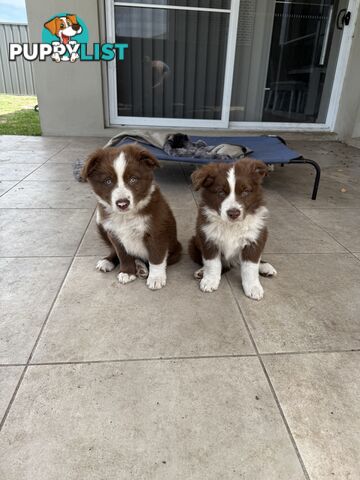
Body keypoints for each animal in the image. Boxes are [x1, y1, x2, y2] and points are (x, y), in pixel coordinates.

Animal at [82, 144, 181, 290]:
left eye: (133, 179)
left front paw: (156, 278)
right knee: (115, 251)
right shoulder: (114, 234)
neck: (126, 217)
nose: (122, 203)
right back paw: (109, 261)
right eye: (108, 181)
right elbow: (122, 254)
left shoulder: (156, 233)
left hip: (176, 250)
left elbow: (156, 258)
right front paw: (127, 272)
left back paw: (142, 268)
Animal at [190, 158, 278, 300]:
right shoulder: (208, 239)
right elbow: (213, 263)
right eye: (221, 193)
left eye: (245, 192)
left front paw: (253, 287)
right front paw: (210, 280)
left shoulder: (255, 240)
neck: (231, 226)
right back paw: (202, 272)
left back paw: (265, 267)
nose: (233, 213)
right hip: (193, 244)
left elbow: (250, 267)